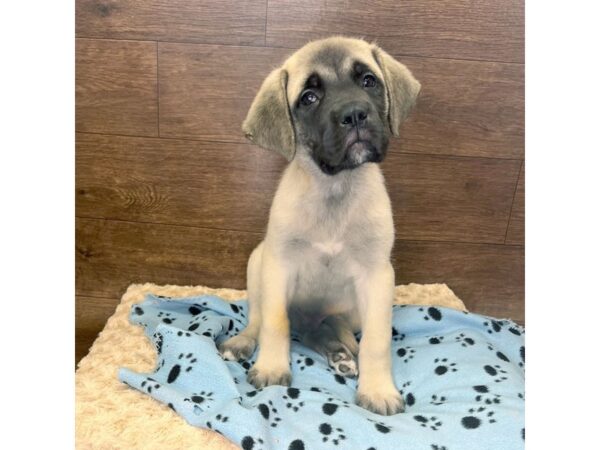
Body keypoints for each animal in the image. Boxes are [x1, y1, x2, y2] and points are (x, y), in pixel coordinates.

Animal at [218, 35, 420, 414]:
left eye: (368, 80)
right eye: (309, 97)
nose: (354, 114)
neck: (334, 188)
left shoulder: (377, 276)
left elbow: (377, 341)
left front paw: (378, 390)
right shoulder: (278, 265)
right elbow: (275, 323)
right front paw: (272, 368)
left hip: (351, 309)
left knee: (330, 327)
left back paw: (341, 351)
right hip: (258, 263)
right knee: (260, 320)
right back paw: (244, 343)